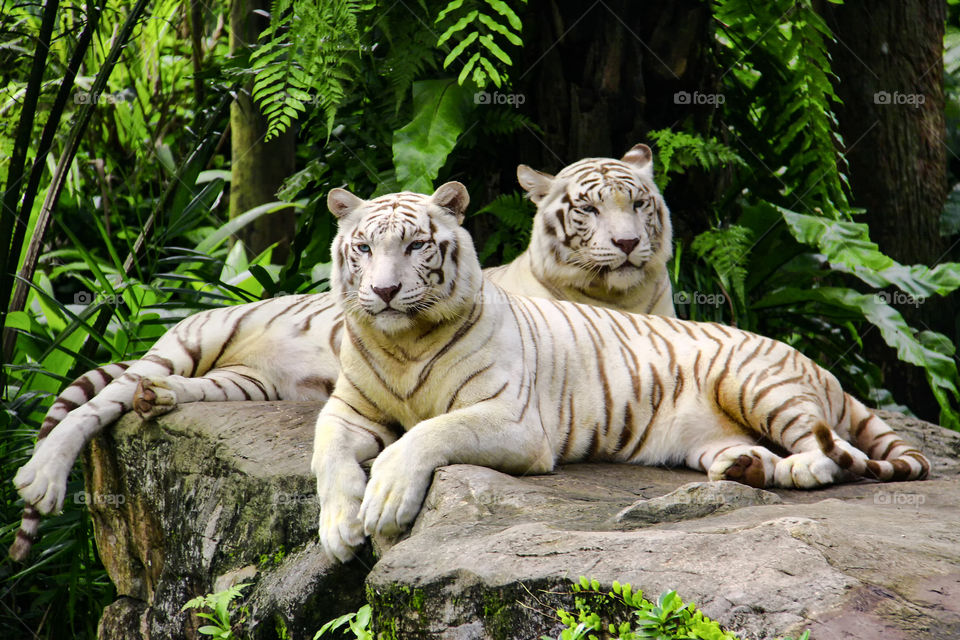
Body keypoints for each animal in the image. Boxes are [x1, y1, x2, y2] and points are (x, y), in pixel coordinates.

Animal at [310, 181, 930, 562]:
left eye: (417, 245)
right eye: (363, 248)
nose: (384, 291)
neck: (404, 342)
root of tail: (816, 366)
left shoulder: (514, 420)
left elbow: (426, 433)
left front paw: (385, 503)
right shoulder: (348, 409)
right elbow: (327, 453)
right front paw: (339, 529)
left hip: (758, 384)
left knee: (833, 456)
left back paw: (796, 468)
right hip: (708, 435)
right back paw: (743, 468)